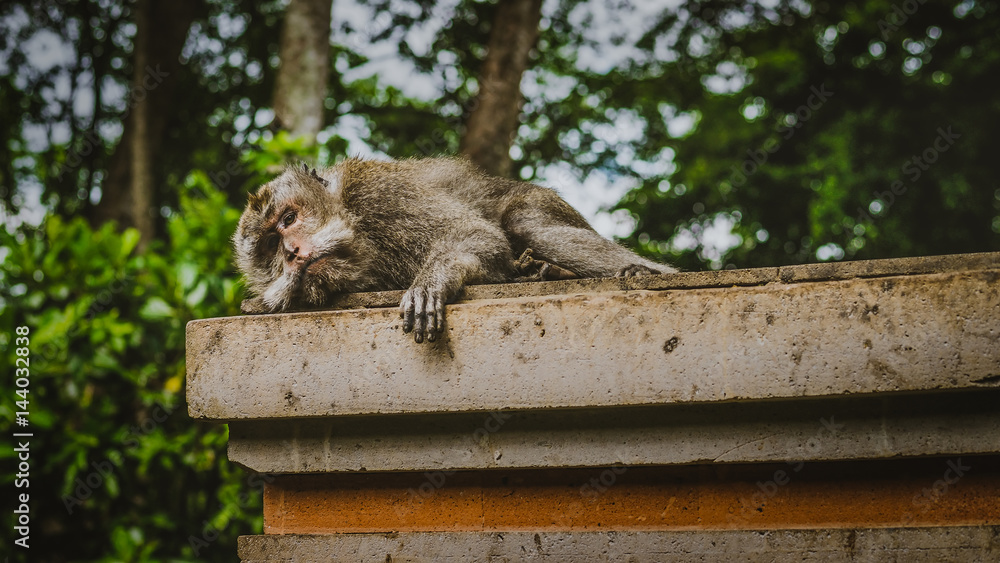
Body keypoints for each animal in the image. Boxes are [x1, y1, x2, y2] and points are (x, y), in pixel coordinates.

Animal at [233, 157, 676, 343]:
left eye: (289, 219)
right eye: (271, 245)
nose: (292, 251)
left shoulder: (380, 194)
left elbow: (475, 234)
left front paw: (433, 280)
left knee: (526, 222)